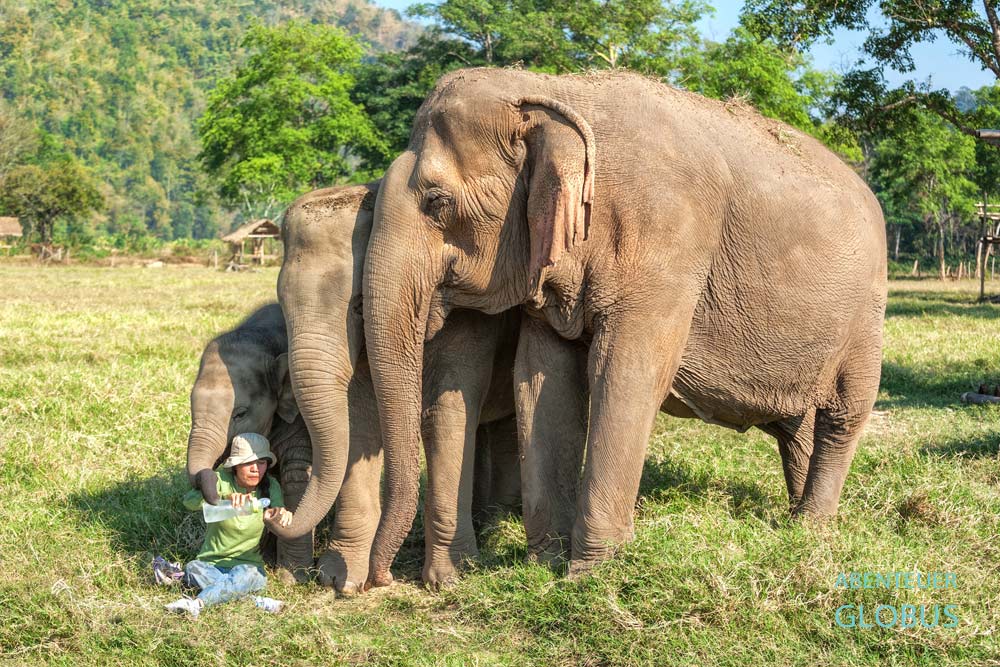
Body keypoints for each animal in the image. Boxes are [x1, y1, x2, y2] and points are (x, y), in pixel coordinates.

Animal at [265, 182, 521, 590]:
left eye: (358, 306)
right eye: (282, 305)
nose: (382, 579)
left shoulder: (470, 320)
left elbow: (443, 412)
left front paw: (447, 580)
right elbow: (360, 421)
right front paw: (340, 582)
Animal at [360, 67, 887, 584]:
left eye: (436, 201)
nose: (379, 579)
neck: (552, 88)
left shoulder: (668, 240)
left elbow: (624, 373)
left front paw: (590, 575)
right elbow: (540, 380)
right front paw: (544, 567)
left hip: (867, 315)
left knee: (843, 415)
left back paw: (813, 527)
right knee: (796, 427)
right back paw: (794, 516)